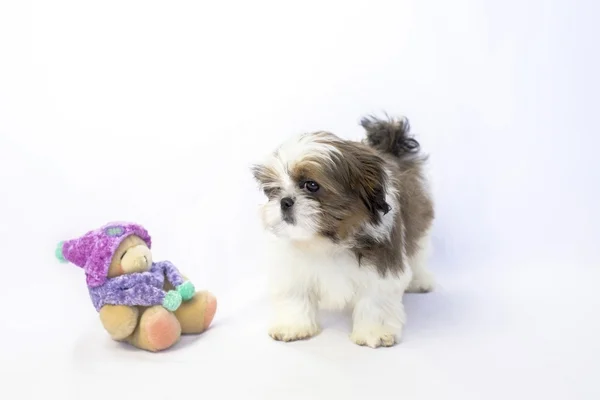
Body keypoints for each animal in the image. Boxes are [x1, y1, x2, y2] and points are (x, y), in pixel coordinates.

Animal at [251, 115, 434, 346]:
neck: (325, 241)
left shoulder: (381, 263)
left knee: (417, 250)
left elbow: (376, 298)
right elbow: (295, 294)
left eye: (311, 185)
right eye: (273, 190)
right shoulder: (292, 267)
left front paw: (374, 331)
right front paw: (293, 326)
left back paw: (420, 281)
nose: (284, 201)